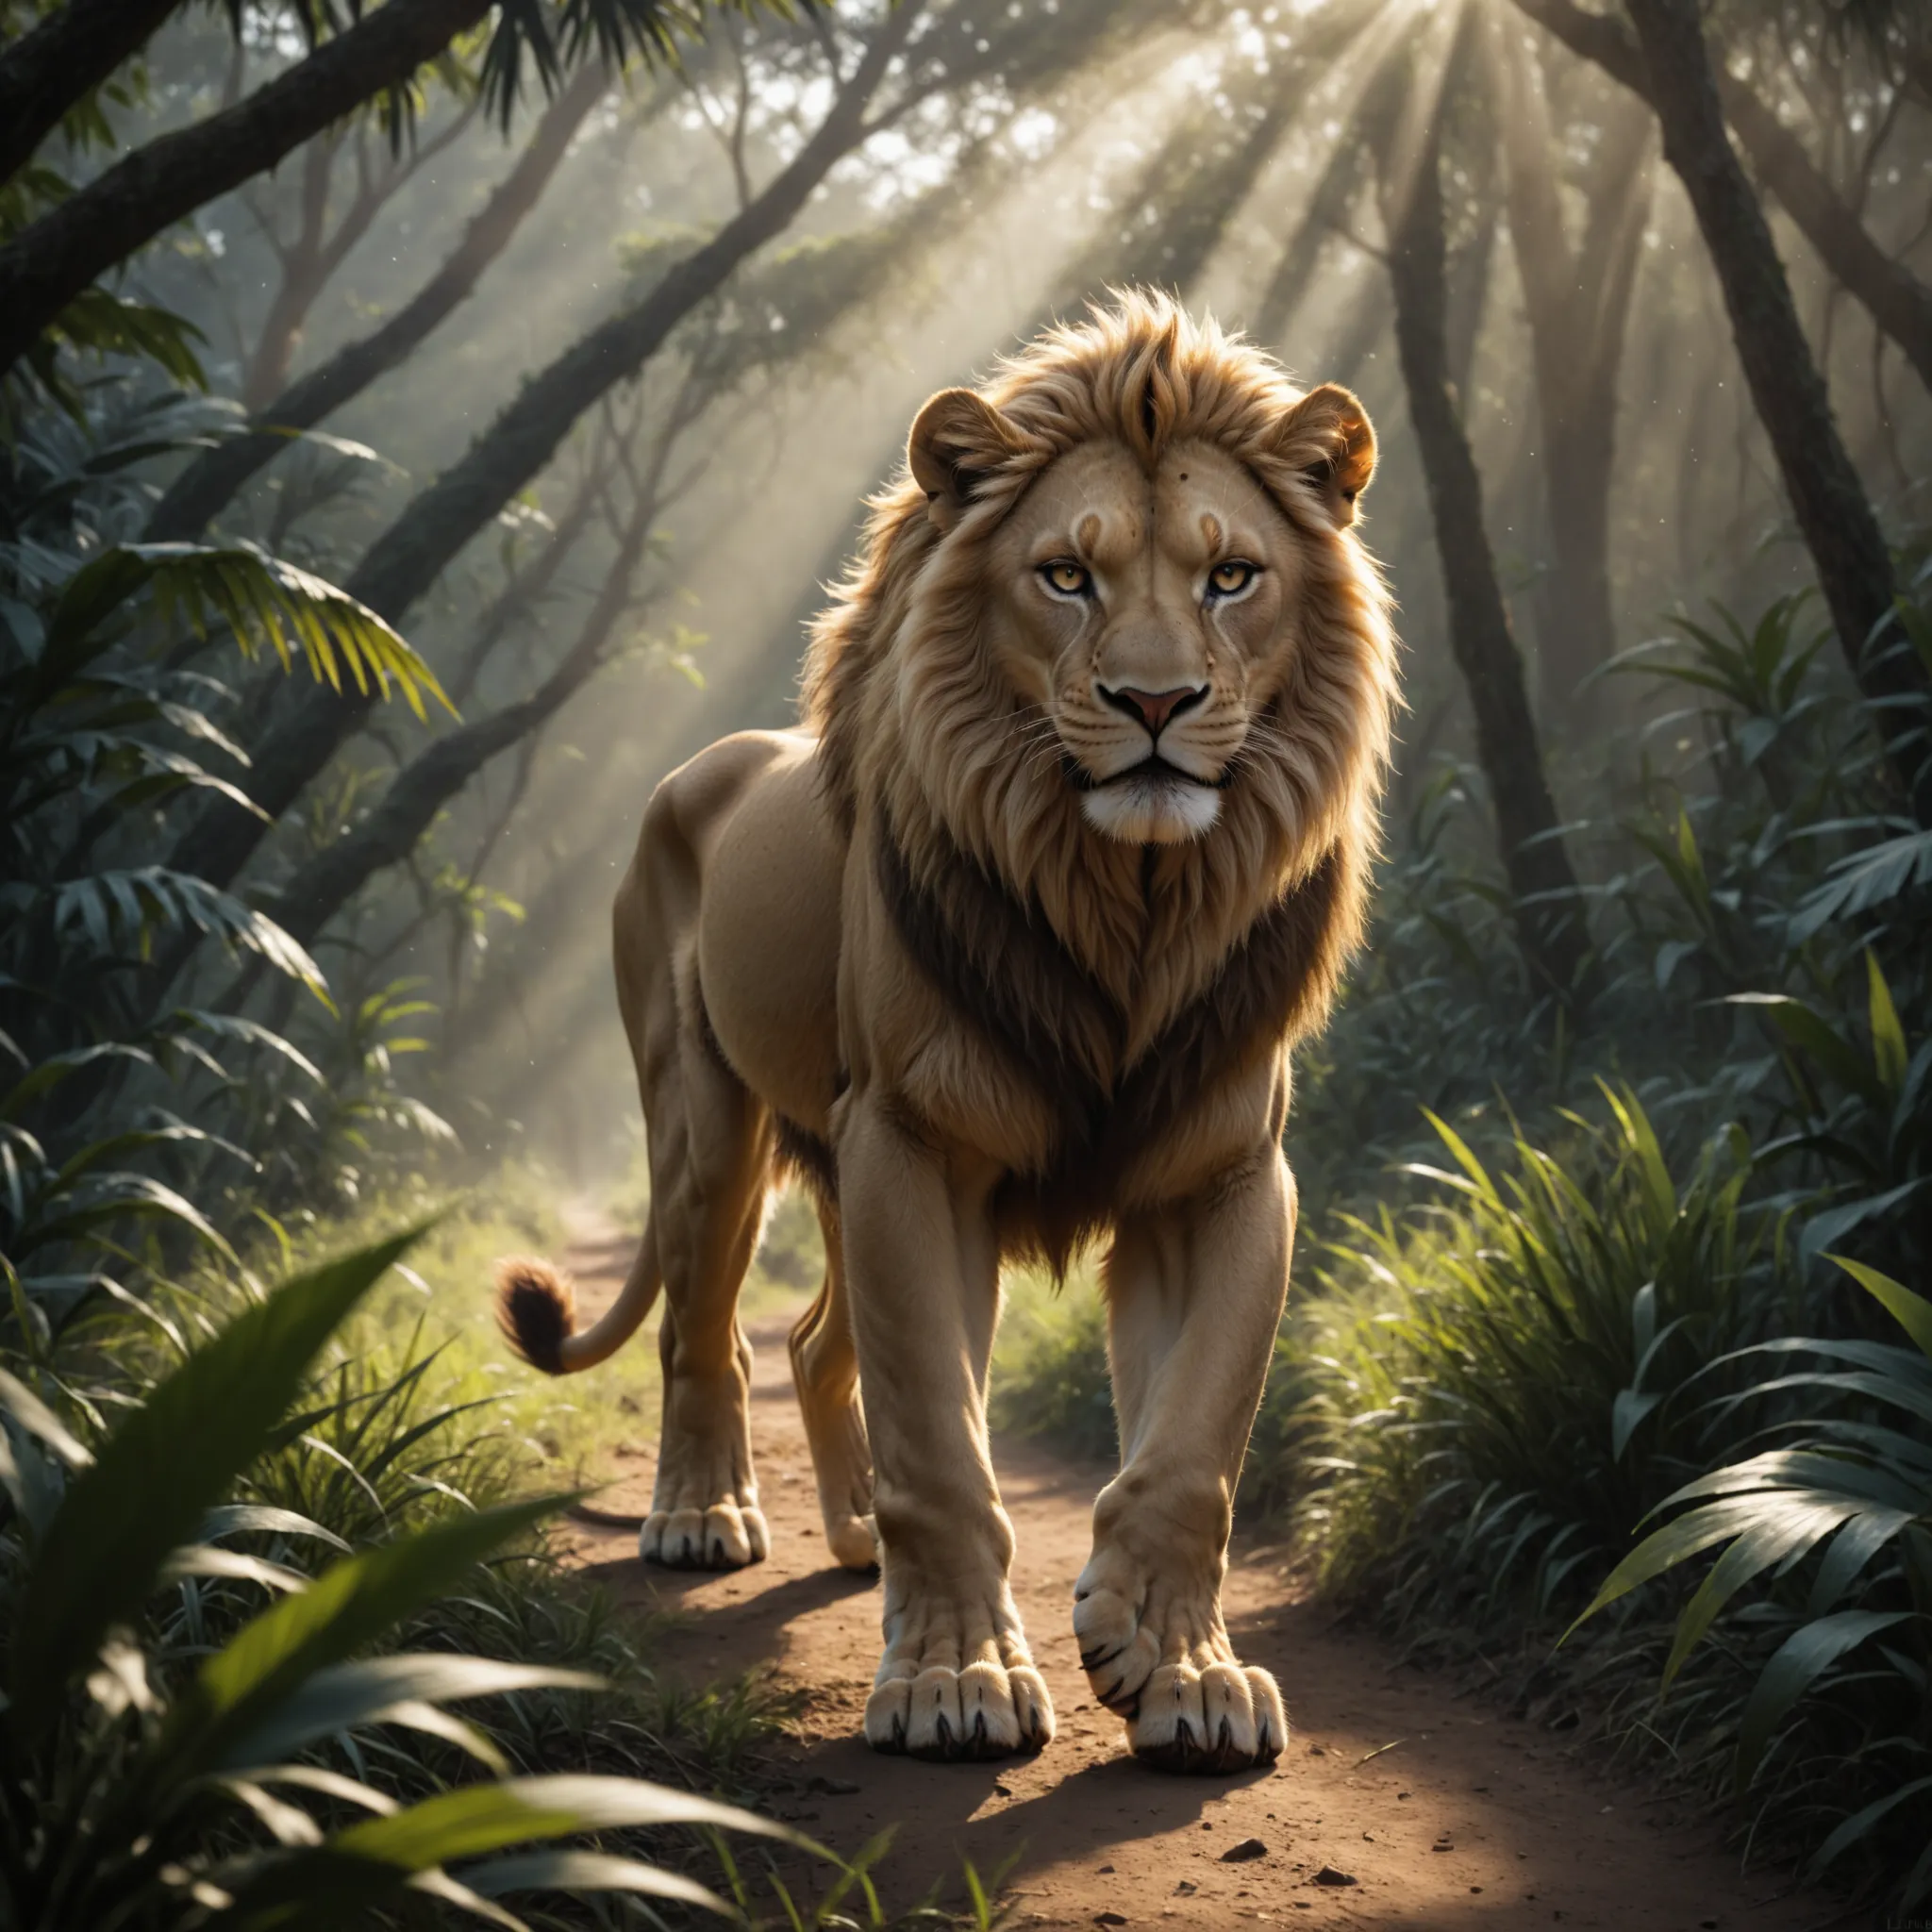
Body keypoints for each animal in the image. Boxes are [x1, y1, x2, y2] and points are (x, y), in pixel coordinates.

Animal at [496, 290, 1397, 1774]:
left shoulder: (1220, 1170)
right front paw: (953, 1681)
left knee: (811, 1342)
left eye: (1230, 577)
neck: (1125, 903)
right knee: (703, 1330)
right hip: (706, 1123)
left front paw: (1178, 1663)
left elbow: (1194, 1442)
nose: (1157, 705)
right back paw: (701, 1518)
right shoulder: (913, 1143)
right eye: (1066, 576)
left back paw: (856, 1537)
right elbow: (940, 1440)